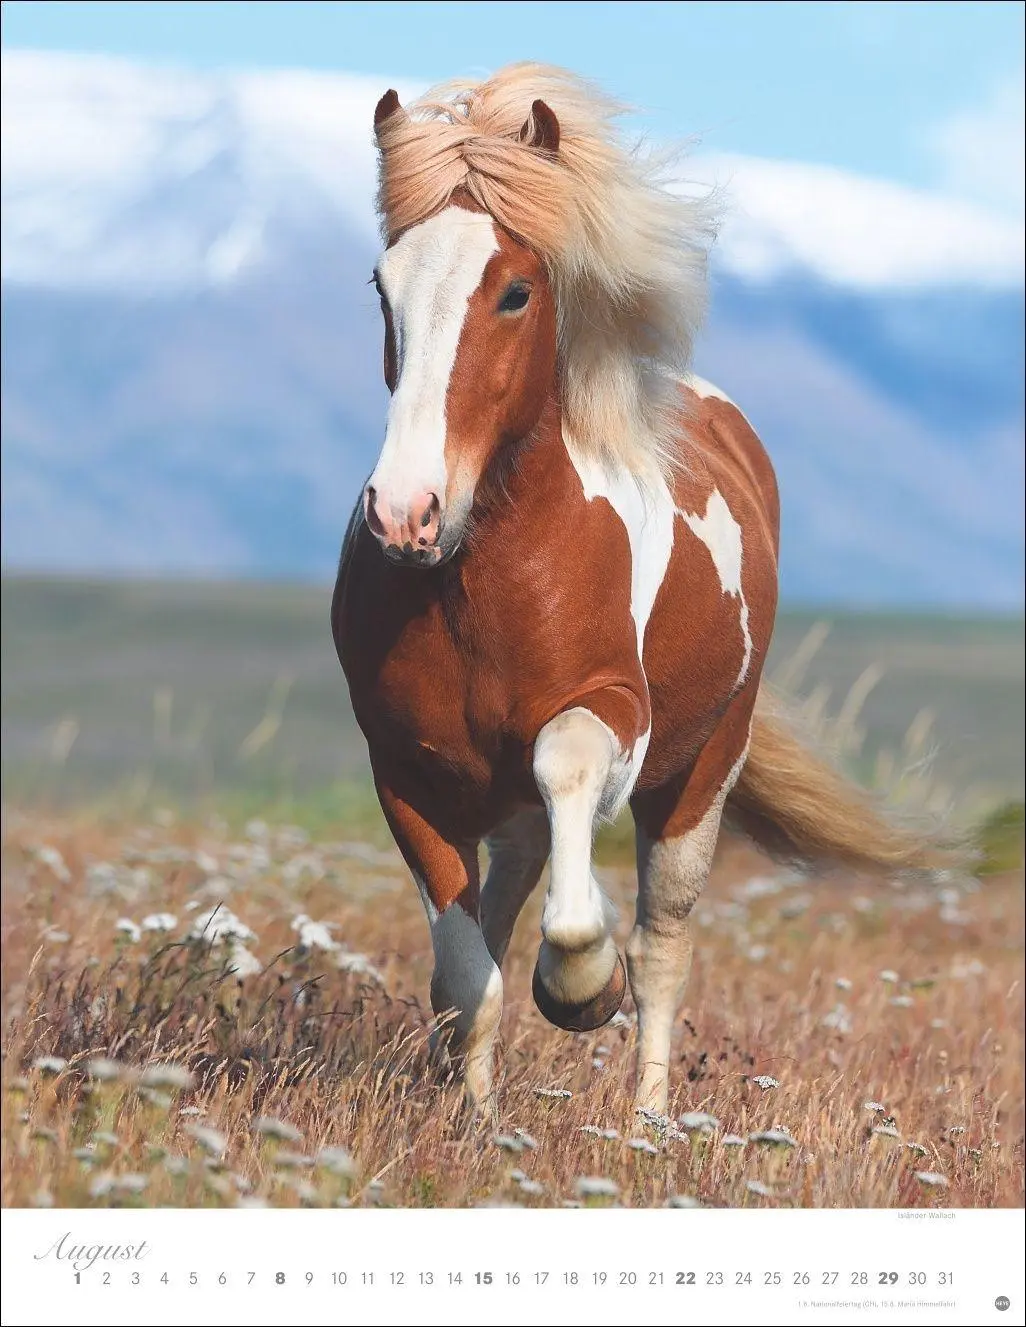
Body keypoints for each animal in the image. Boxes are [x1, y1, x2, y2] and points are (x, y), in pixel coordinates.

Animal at [331, 63, 939, 1118]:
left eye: (516, 290)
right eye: (382, 285)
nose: (406, 513)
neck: (479, 584)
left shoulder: (613, 712)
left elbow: (571, 795)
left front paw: (581, 985)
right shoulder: (404, 770)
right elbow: (465, 968)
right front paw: (470, 1109)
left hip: (702, 779)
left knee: (663, 945)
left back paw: (650, 1113)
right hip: (510, 805)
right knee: (504, 910)